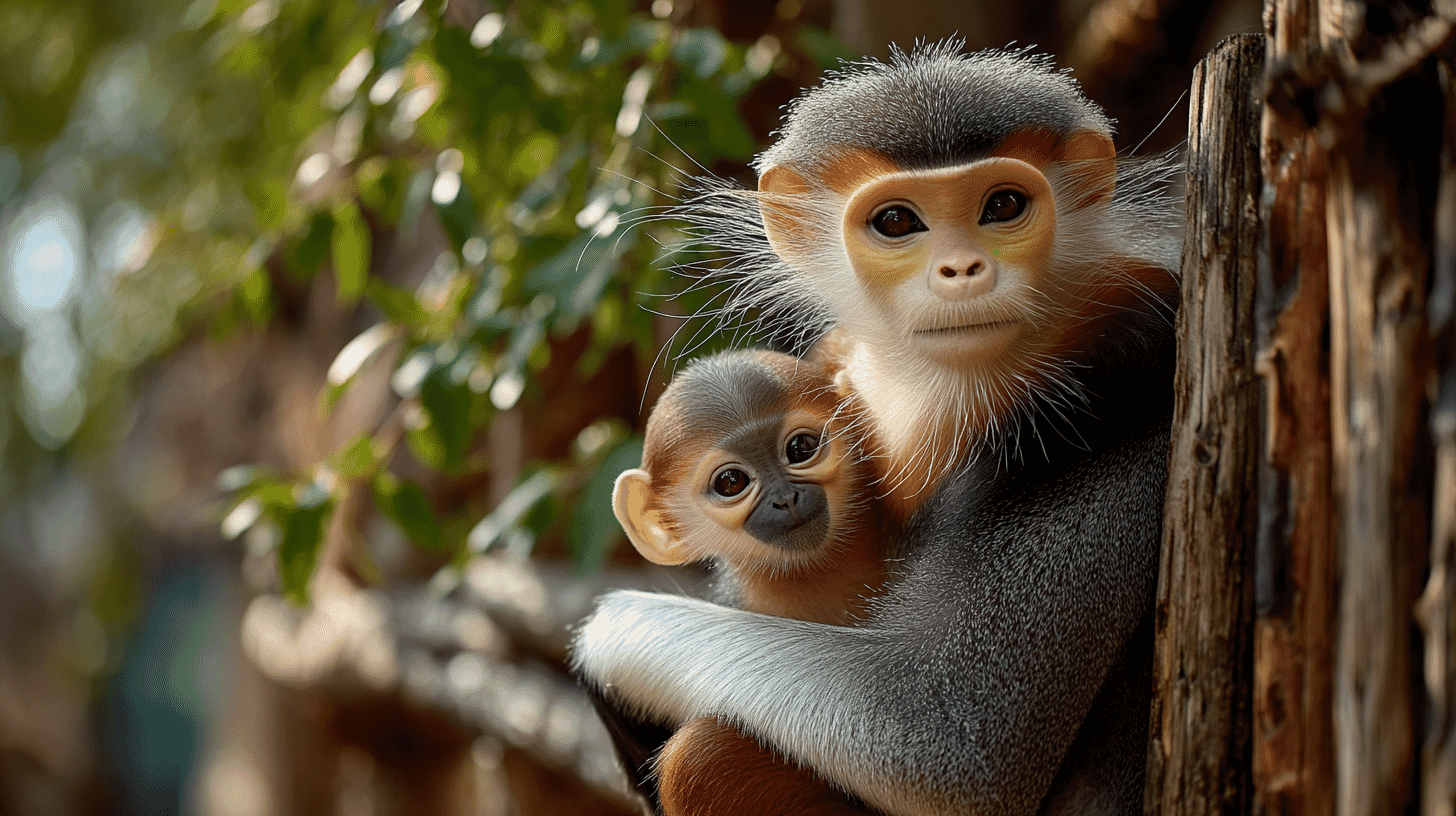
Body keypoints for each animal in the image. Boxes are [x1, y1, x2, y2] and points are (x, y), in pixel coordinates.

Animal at [574, 42, 1183, 816]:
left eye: (1003, 206)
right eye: (897, 222)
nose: (962, 269)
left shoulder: (1113, 385)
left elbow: (945, 736)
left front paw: (601, 648)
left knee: (706, 753)